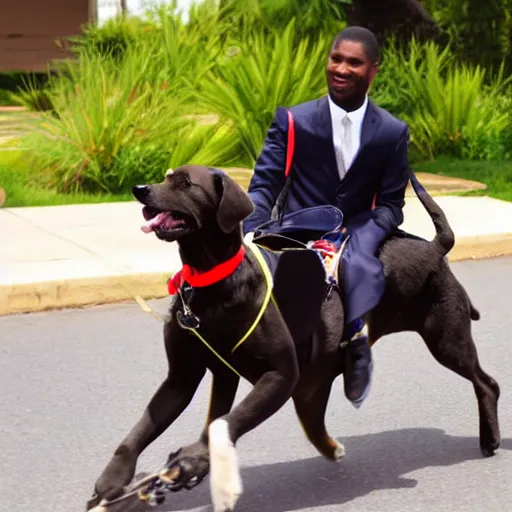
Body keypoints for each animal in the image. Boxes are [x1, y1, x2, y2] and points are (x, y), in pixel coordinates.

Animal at [87, 165, 500, 512]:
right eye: (166, 176)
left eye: (186, 183)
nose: (140, 189)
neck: (210, 282)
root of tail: (435, 246)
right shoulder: (184, 378)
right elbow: (142, 431)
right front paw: (115, 481)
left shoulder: (280, 376)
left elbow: (223, 424)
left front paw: (190, 464)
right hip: (317, 381)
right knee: (313, 419)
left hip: (446, 339)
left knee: (487, 383)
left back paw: (490, 439)